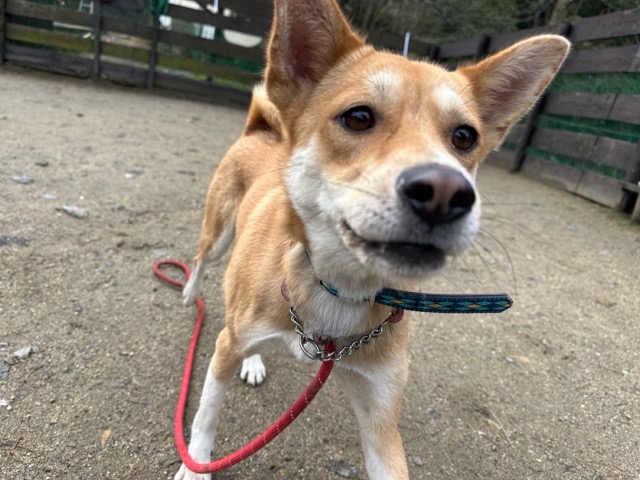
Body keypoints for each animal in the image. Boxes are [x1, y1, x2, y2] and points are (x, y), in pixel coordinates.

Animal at [175, 1, 569, 478]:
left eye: (464, 137)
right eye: (358, 117)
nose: (445, 192)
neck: (340, 291)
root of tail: (261, 130)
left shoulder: (381, 416)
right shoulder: (223, 349)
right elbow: (205, 415)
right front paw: (195, 464)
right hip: (219, 234)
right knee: (202, 261)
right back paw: (190, 293)